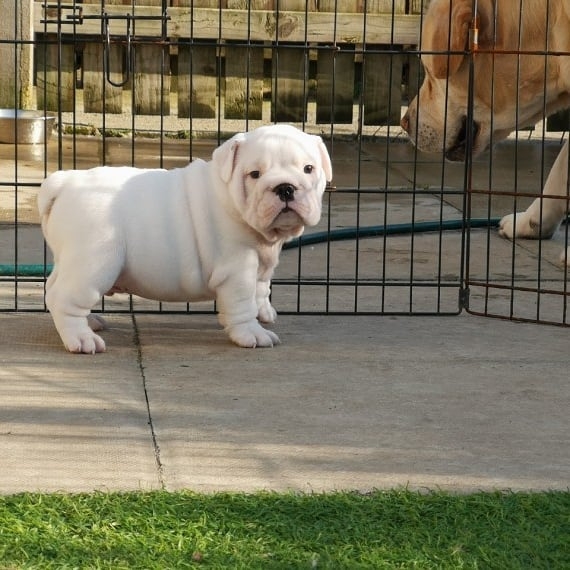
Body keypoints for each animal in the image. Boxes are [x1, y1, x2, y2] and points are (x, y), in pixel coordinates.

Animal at [37, 125, 330, 350]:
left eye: (308, 169)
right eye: (254, 174)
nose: (285, 188)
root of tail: (65, 183)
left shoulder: (260, 264)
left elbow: (260, 290)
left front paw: (263, 312)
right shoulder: (238, 270)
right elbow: (243, 303)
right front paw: (252, 333)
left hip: (70, 261)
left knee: (53, 289)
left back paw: (89, 322)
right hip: (94, 263)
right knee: (64, 299)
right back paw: (81, 338)